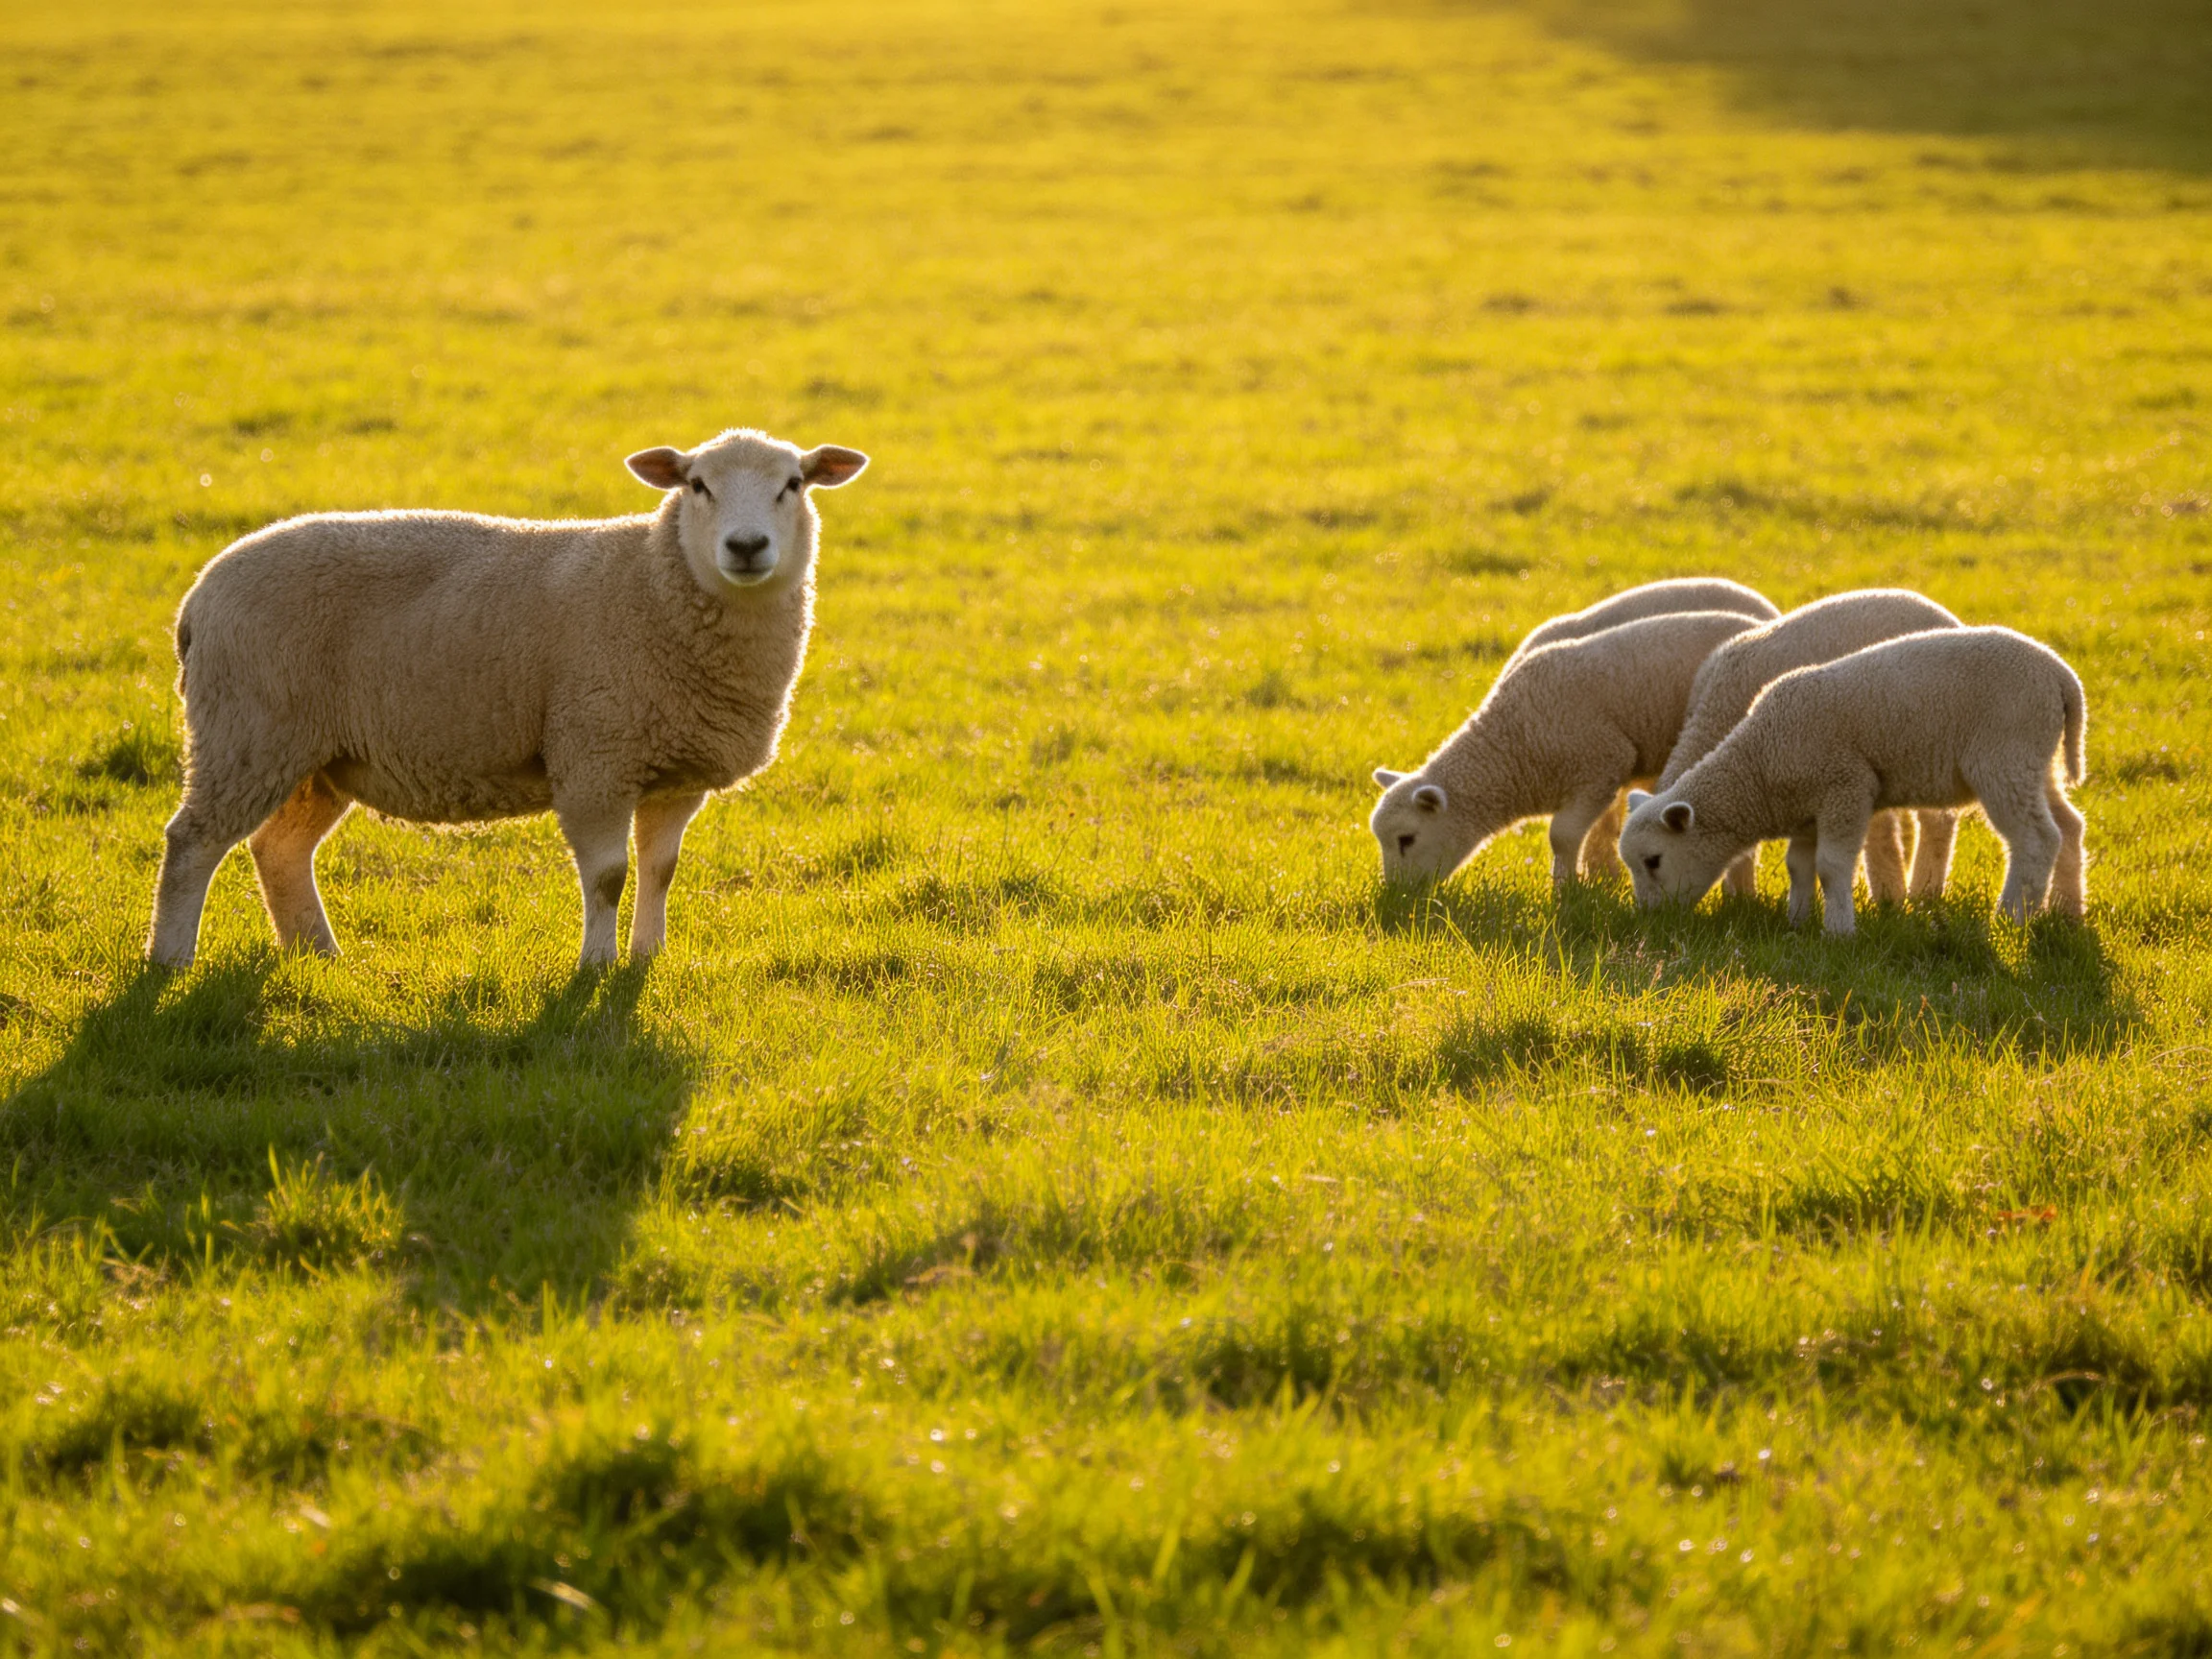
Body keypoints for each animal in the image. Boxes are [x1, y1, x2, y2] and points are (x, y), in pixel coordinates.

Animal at [146, 427, 869, 969]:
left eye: (793, 484)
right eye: (697, 486)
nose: (746, 546)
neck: (652, 583)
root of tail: (197, 598)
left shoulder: (674, 773)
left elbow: (660, 868)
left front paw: (647, 959)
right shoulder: (594, 758)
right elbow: (609, 876)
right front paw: (596, 967)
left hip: (315, 755)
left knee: (279, 850)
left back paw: (318, 954)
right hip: (247, 728)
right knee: (192, 842)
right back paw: (171, 960)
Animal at [1371, 609, 1761, 890]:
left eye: (1406, 839)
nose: (1396, 894)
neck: (1512, 744)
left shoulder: (1601, 766)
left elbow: (1561, 836)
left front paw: (1565, 889)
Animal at [1620, 626, 2086, 934]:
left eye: (1653, 860)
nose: (1650, 919)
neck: (1759, 765)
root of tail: (2061, 675)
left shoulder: (1846, 787)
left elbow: (1830, 867)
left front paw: (1839, 931)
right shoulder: (1808, 809)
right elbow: (1799, 867)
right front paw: (1797, 921)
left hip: (2004, 757)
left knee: (2035, 839)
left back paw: (2012, 918)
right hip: (2034, 761)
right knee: (2068, 826)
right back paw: (2065, 911)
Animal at [1655, 588, 1965, 911]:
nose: (1657, 915)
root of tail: (1945, 616)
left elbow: (1876, 835)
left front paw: (1888, 897)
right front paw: (1742, 897)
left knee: (1938, 821)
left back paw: (1925, 889)